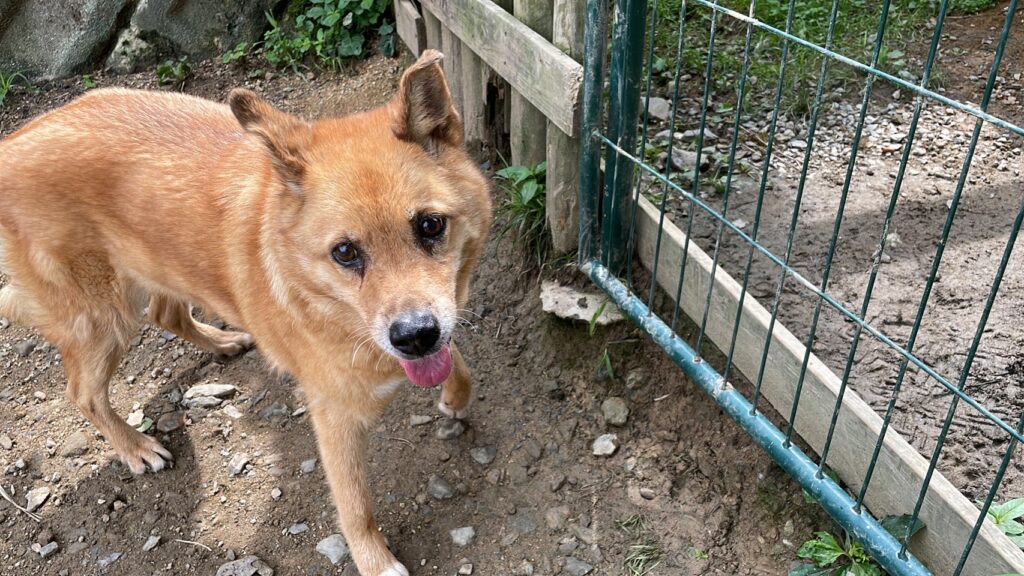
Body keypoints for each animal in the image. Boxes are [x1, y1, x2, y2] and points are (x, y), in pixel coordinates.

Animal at [0, 49, 492, 576]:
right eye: (345, 253)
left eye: (430, 225)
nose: (414, 336)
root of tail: (12, 144)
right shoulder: (335, 416)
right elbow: (355, 504)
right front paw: (375, 560)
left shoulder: (433, 329)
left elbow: (458, 360)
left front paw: (455, 396)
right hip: (104, 317)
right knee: (84, 393)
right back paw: (136, 448)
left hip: (162, 267)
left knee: (166, 315)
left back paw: (223, 341)